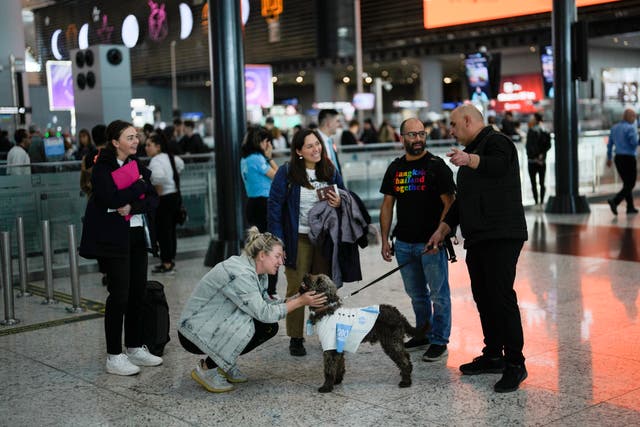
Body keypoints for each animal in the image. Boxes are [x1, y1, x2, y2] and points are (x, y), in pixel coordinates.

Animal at [298, 274, 428, 394]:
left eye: (319, 281)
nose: (304, 275)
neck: (327, 310)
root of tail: (398, 314)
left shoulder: (330, 348)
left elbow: (329, 369)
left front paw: (326, 387)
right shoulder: (339, 346)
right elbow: (340, 365)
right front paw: (337, 380)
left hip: (391, 343)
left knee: (404, 361)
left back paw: (406, 381)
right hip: (395, 342)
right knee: (406, 357)